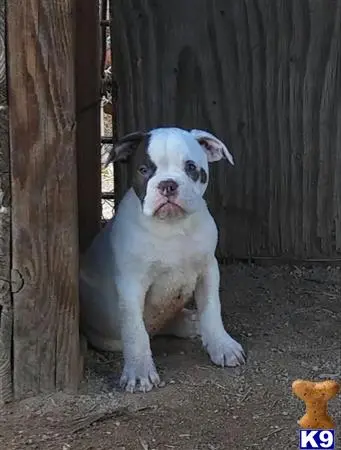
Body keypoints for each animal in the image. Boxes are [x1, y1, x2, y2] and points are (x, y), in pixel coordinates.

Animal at [79, 125, 244, 390]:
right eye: (144, 170)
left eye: (190, 167)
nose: (168, 184)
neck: (172, 227)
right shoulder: (131, 285)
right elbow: (134, 329)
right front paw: (139, 371)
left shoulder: (208, 270)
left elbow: (212, 308)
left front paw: (222, 345)